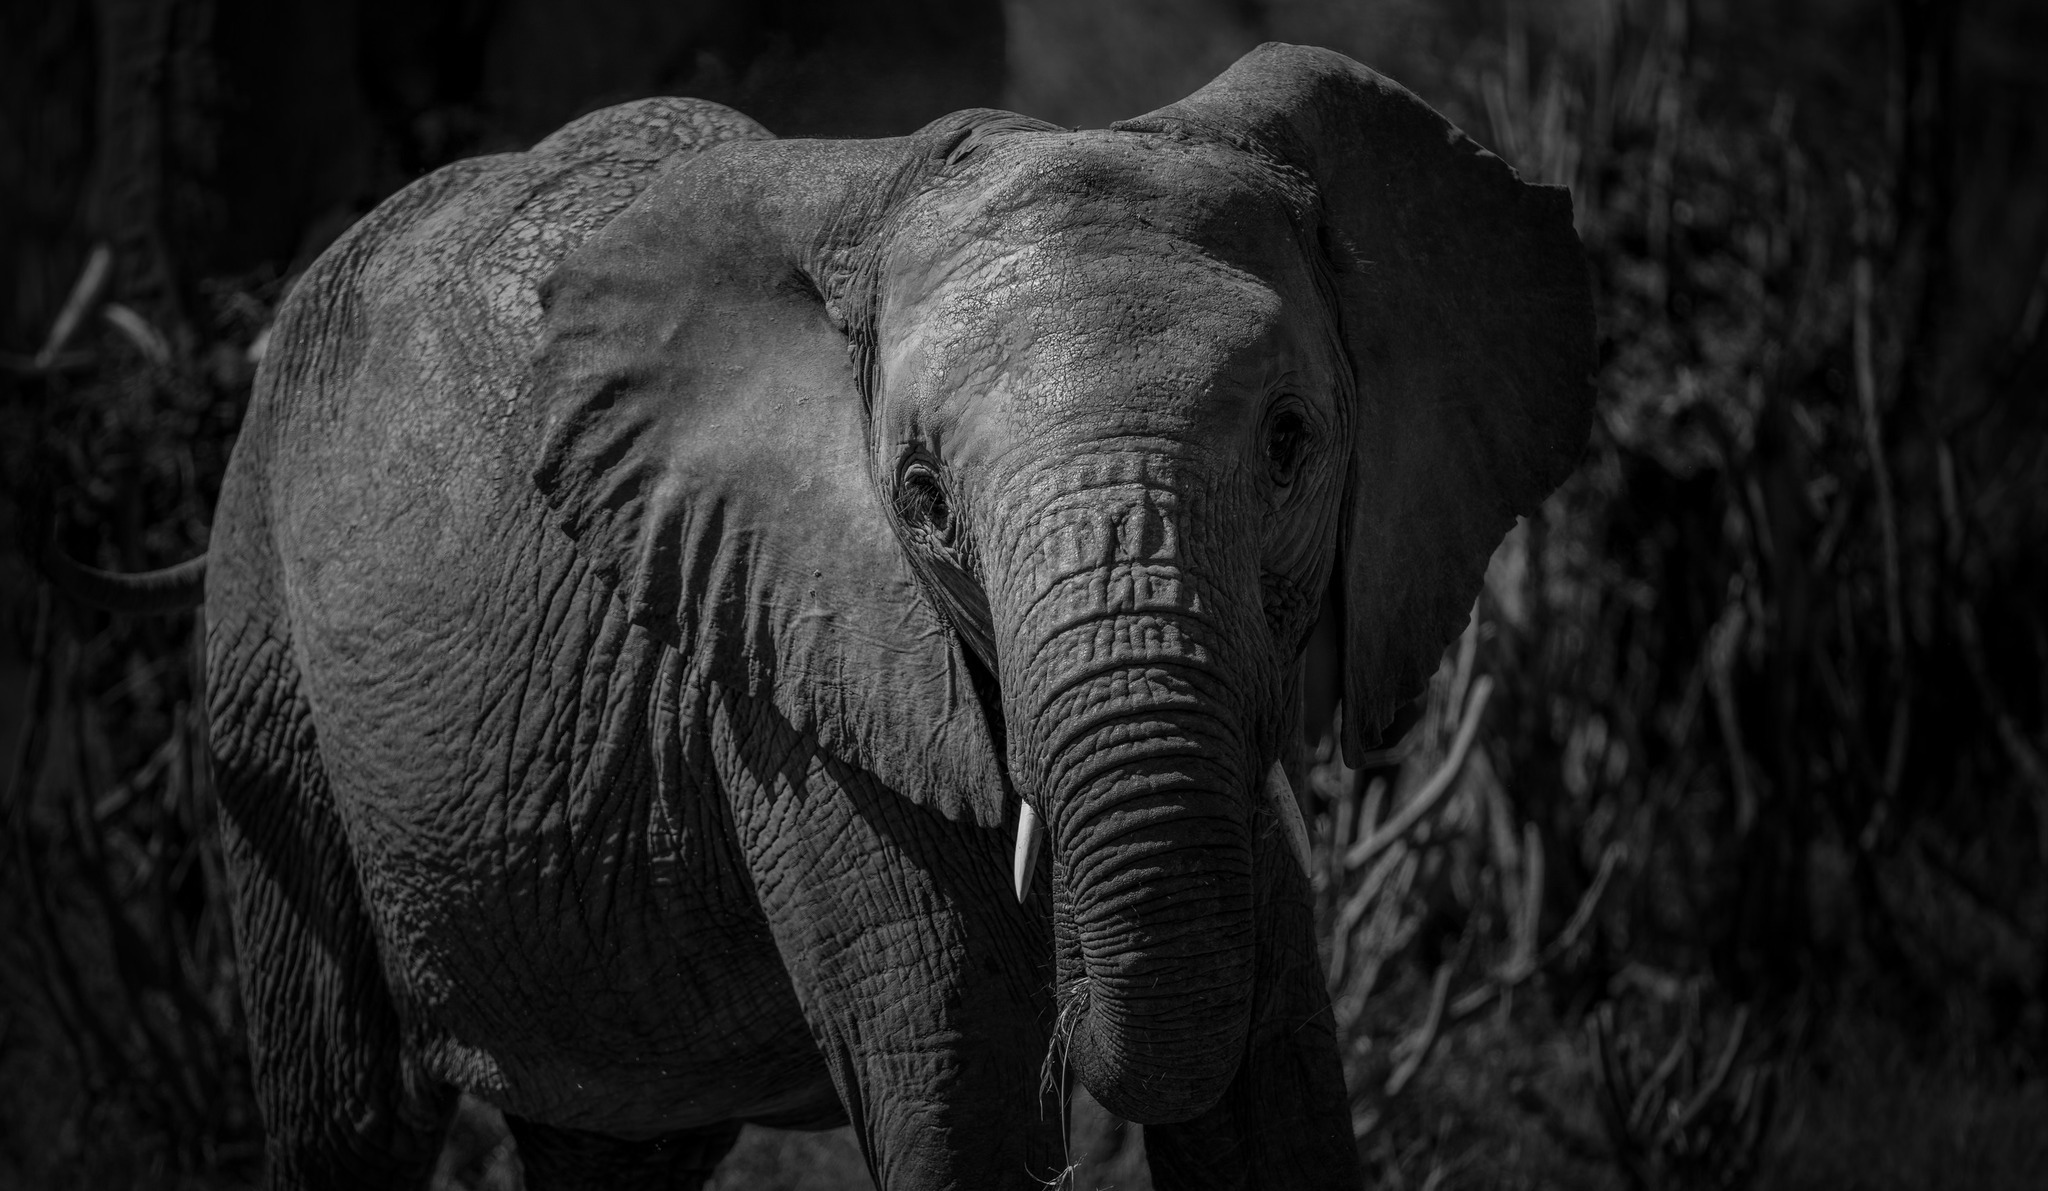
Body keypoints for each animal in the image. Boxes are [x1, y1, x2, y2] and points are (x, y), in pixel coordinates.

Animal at [39, 39, 1589, 1191]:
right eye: (922, 495)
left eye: (1287, 443)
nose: (1075, 1047)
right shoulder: (791, 691)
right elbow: (954, 1097)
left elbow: (1278, 1090)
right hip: (263, 671)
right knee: (346, 1116)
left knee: (617, 1146)